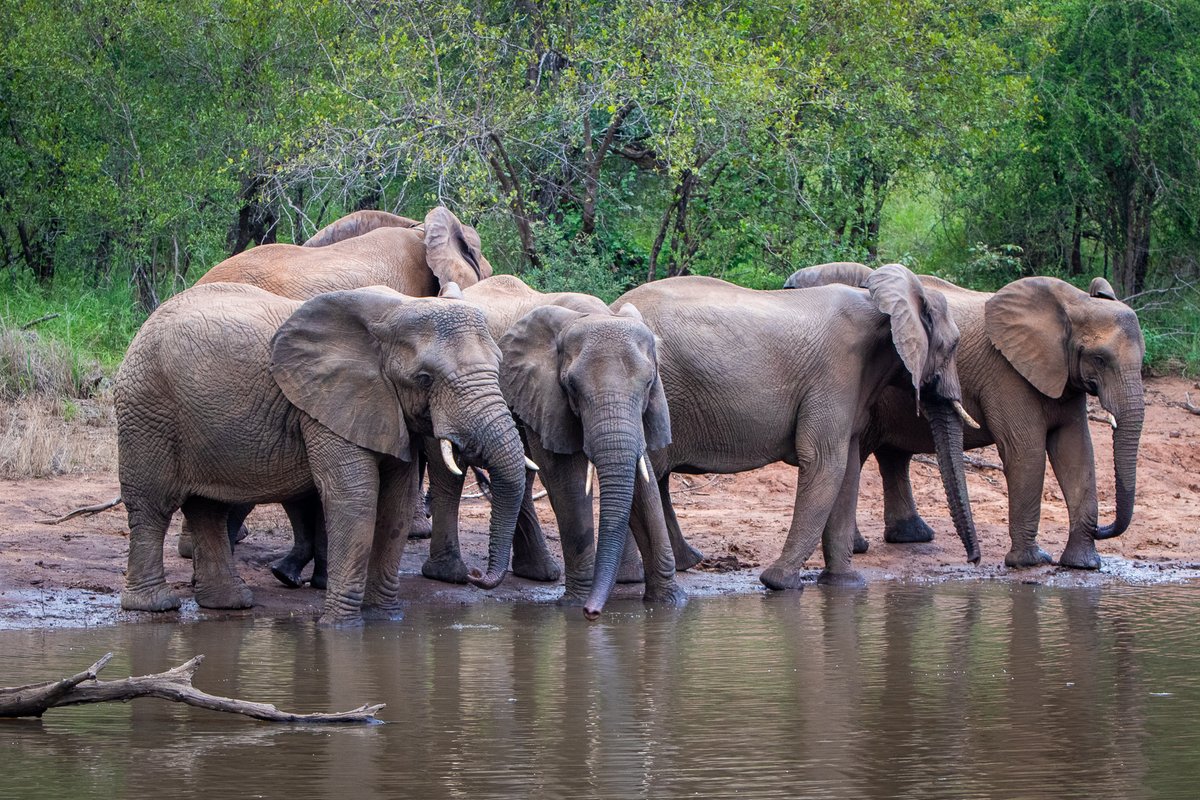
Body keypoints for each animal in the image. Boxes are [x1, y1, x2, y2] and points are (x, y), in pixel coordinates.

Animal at [115, 282, 527, 625]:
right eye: (424, 379)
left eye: (498, 366)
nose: (477, 576)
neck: (393, 312)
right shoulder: (326, 405)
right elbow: (356, 499)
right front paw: (341, 627)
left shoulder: (387, 410)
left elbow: (396, 502)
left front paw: (385, 619)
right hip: (147, 408)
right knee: (153, 505)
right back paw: (154, 606)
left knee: (208, 508)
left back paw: (229, 603)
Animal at [613, 265, 980, 590]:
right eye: (952, 346)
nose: (974, 561)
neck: (880, 302)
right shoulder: (835, 374)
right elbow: (824, 461)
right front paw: (779, 584)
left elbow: (846, 469)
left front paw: (845, 585)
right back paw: (635, 577)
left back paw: (681, 563)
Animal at [784, 263, 1145, 569]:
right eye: (1099, 359)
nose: (1103, 529)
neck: (1072, 303)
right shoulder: (1006, 373)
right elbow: (1025, 452)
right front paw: (1031, 562)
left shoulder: (1062, 377)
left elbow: (1076, 451)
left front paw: (1083, 565)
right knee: (860, 454)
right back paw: (861, 548)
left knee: (892, 456)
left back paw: (911, 538)